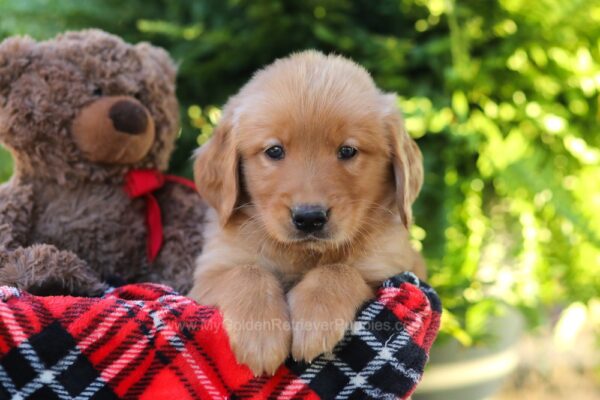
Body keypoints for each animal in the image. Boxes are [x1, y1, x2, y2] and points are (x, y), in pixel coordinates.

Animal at [190, 50, 424, 376]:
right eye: (274, 151)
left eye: (348, 151)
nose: (310, 218)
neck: (304, 255)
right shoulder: (206, 277)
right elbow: (246, 271)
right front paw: (260, 336)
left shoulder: (392, 271)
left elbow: (339, 270)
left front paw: (315, 320)